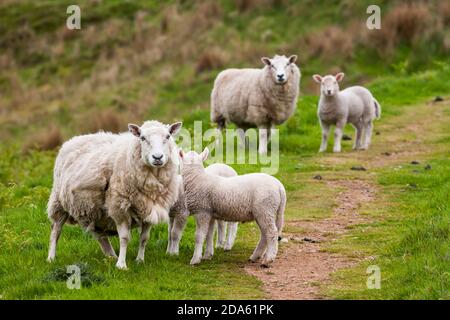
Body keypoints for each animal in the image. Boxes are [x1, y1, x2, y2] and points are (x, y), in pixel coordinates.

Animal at [47, 121, 183, 268]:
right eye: (142, 138)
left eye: (168, 136)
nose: (157, 157)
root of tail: (72, 140)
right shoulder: (119, 207)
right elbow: (124, 238)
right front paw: (121, 265)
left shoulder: (149, 209)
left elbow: (144, 238)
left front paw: (140, 260)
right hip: (58, 202)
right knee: (55, 230)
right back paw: (51, 257)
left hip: (94, 210)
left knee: (99, 235)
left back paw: (111, 256)